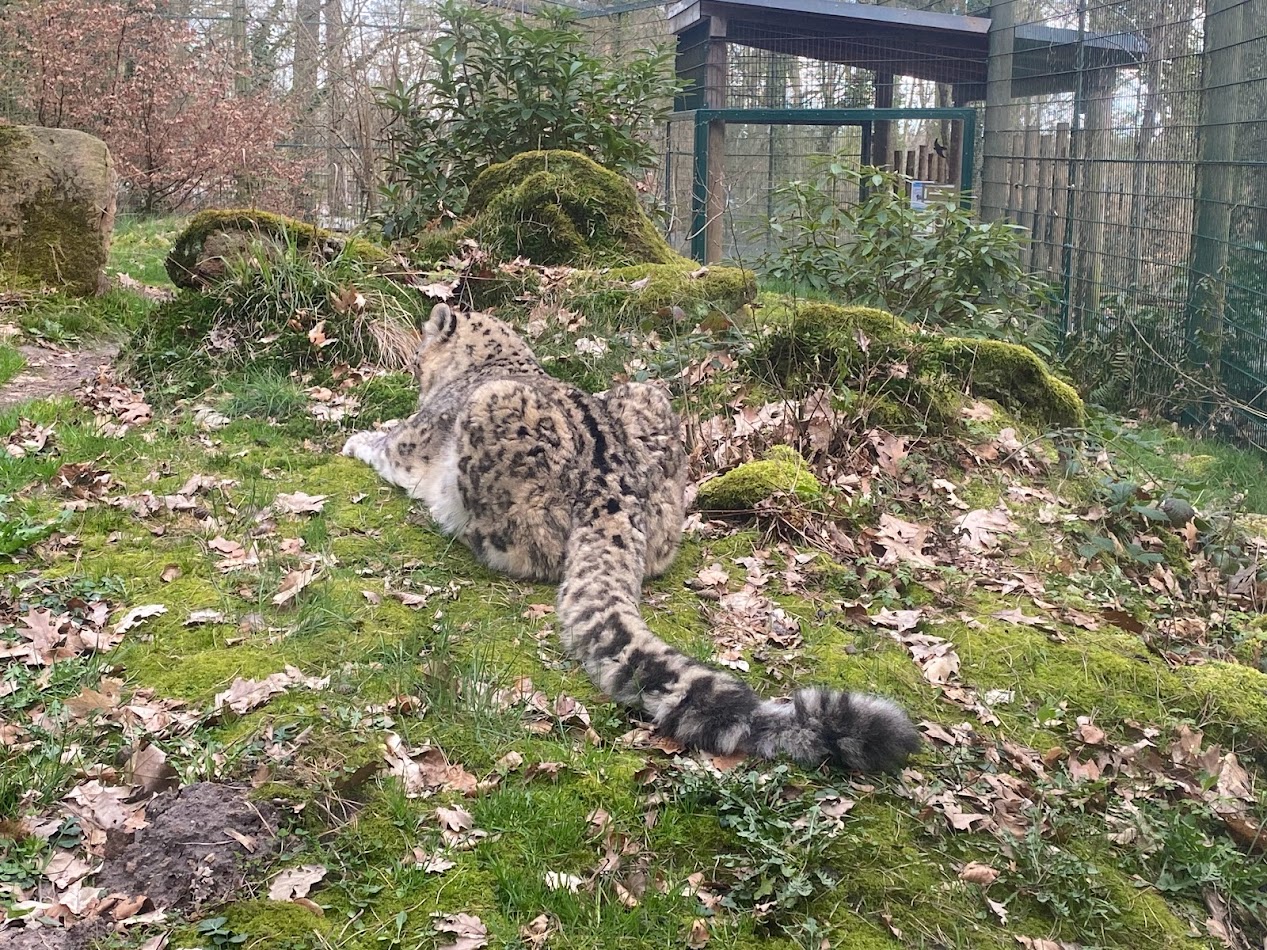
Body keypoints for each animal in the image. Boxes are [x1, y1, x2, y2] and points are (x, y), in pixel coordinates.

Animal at [341, 303, 921, 771]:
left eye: (420, 349)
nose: (413, 365)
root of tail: (613, 491)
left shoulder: (414, 439)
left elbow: (386, 442)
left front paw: (356, 438)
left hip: (498, 444)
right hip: (650, 407)